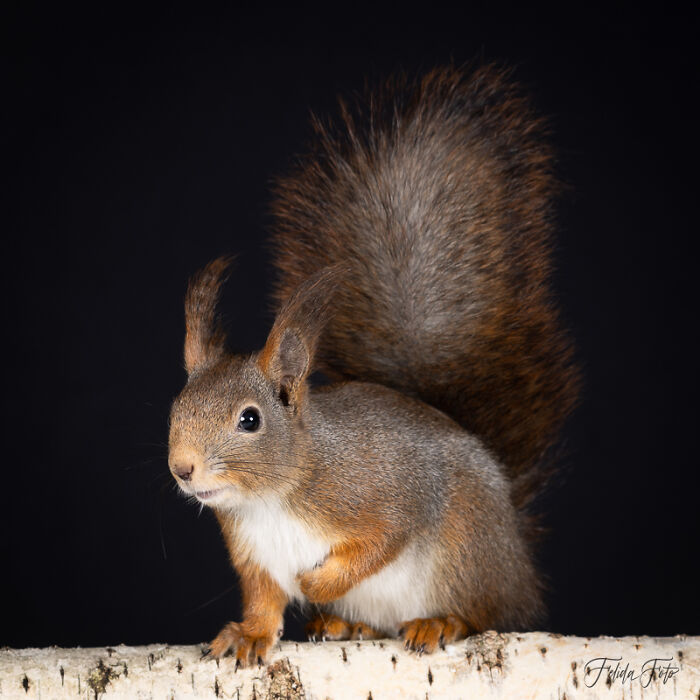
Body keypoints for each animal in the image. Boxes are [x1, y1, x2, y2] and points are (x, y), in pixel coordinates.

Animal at [168, 64, 579, 666]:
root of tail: (515, 558)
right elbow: (264, 602)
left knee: (484, 612)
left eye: (250, 419)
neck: (275, 495)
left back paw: (438, 621)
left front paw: (316, 584)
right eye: (175, 409)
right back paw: (346, 624)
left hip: (465, 550)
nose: (183, 468)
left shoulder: (383, 495)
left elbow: (381, 541)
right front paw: (249, 635)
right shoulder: (254, 555)